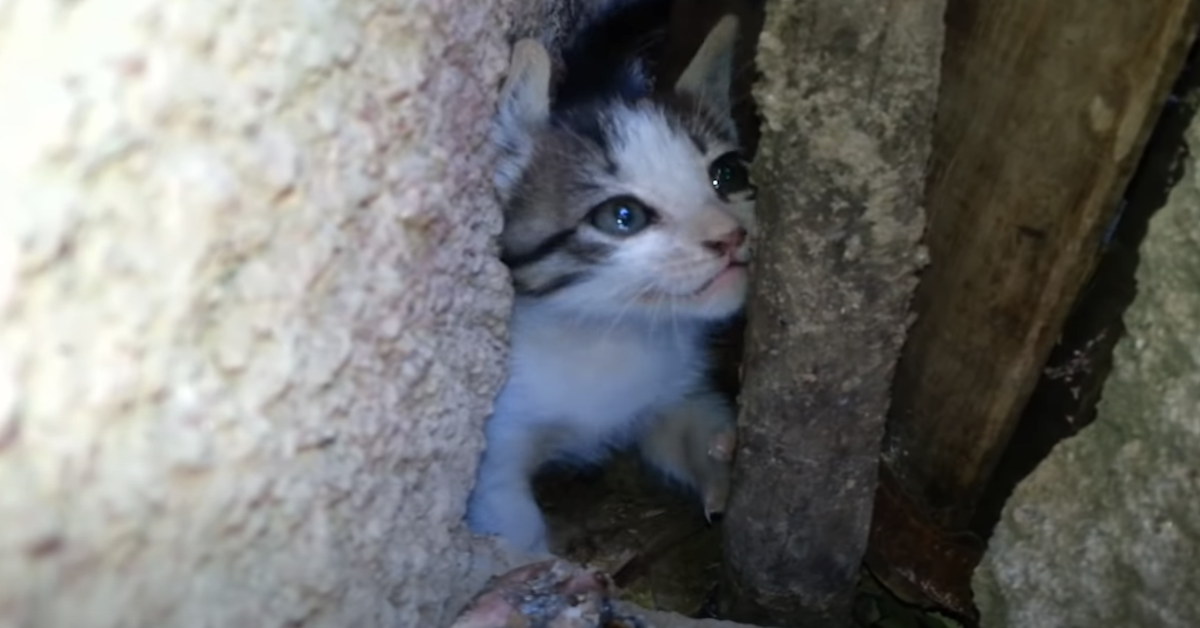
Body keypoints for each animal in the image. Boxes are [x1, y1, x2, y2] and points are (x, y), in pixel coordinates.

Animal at [468, 3, 758, 554]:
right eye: (622, 216)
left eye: (729, 175)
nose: (731, 236)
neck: (606, 335)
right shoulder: (496, 448)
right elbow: (515, 528)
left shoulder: (671, 390)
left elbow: (692, 425)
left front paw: (724, 456)